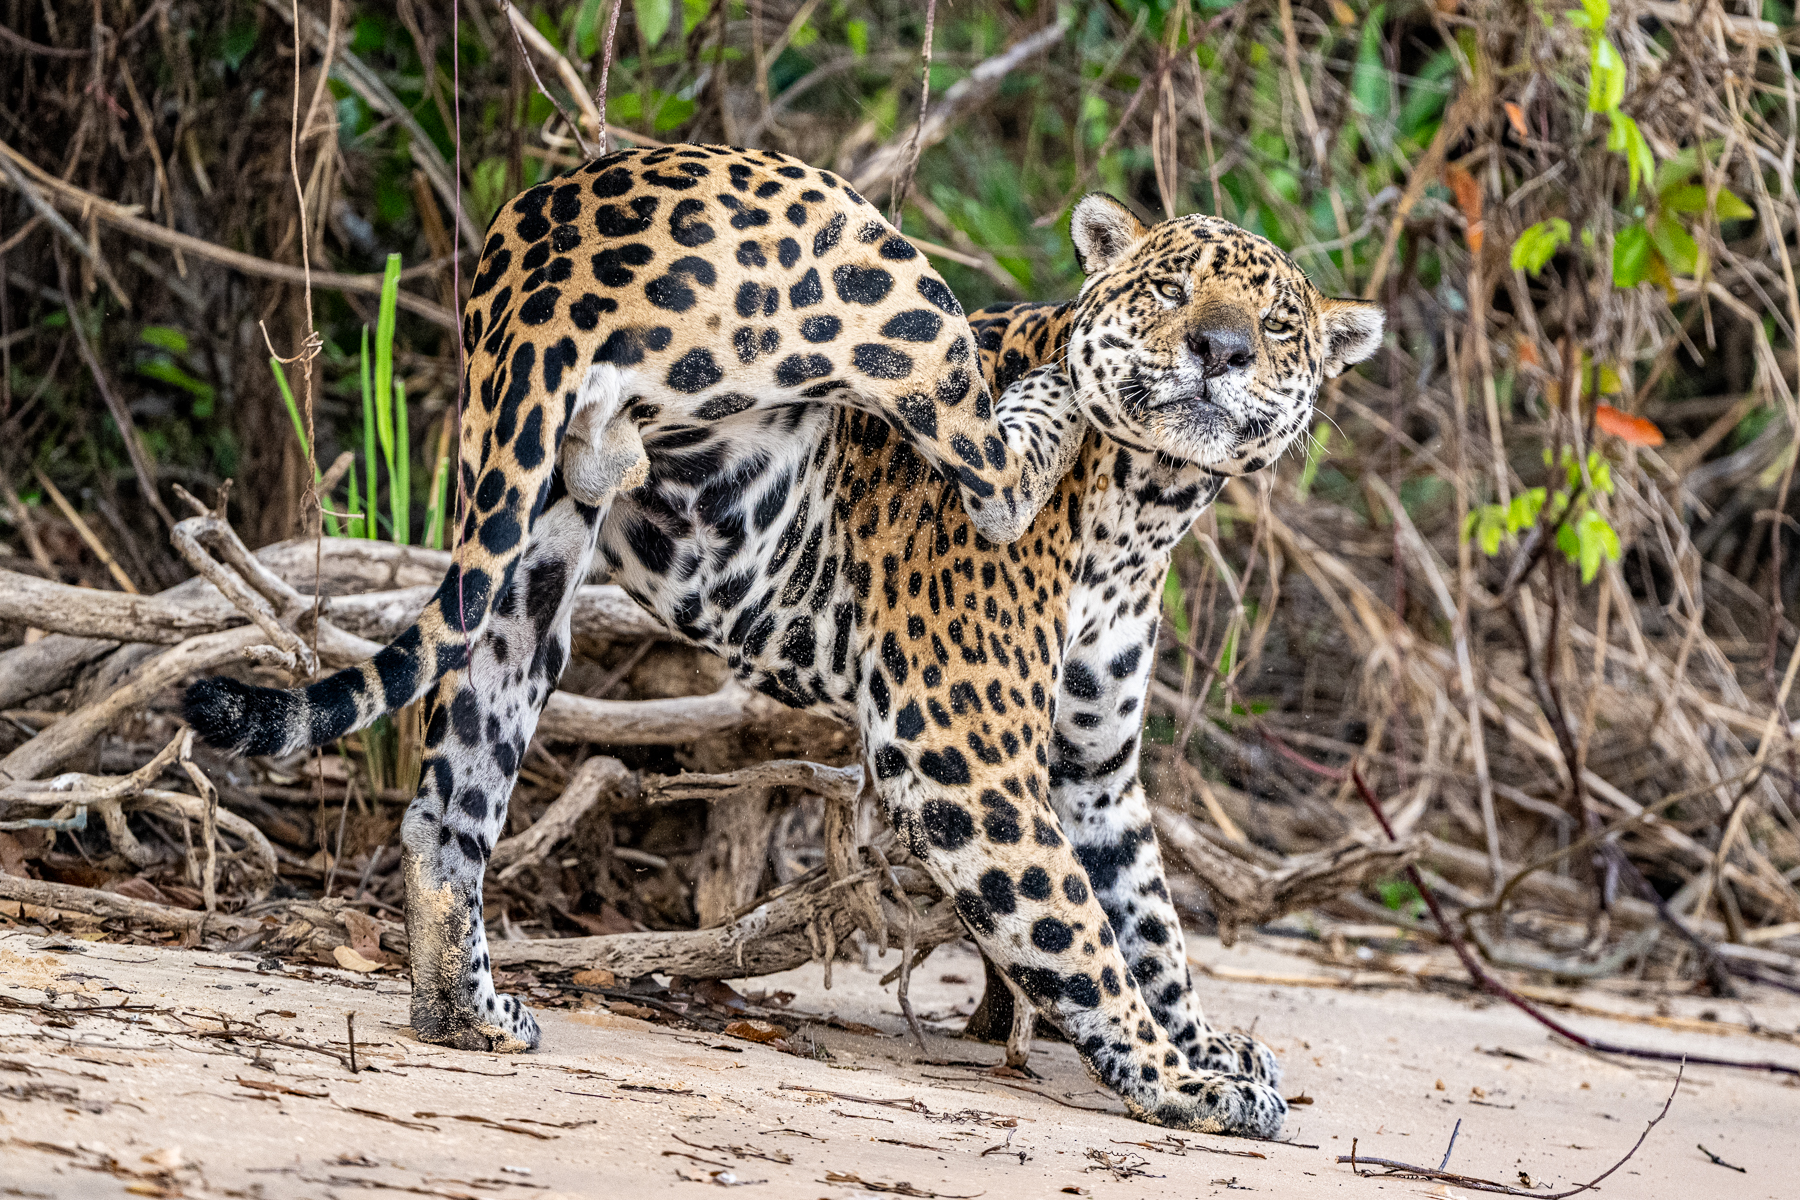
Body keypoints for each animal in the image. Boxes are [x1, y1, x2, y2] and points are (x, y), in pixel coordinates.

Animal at [183, 142, 1382, 1138]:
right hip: (882, 266)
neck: (1149, 505)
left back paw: (462, 1011)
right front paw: (1179, 1082)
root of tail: (545, 224)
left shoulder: (1094, 767)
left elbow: (1148, 917)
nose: (1222, 349)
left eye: (1278, 328)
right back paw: (1042, 408)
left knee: (448, 803)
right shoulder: (968, 748)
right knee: (988, 459)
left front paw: (1203, 1044)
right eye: (1172, 290)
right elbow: (1075, 928)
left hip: (529, 560)